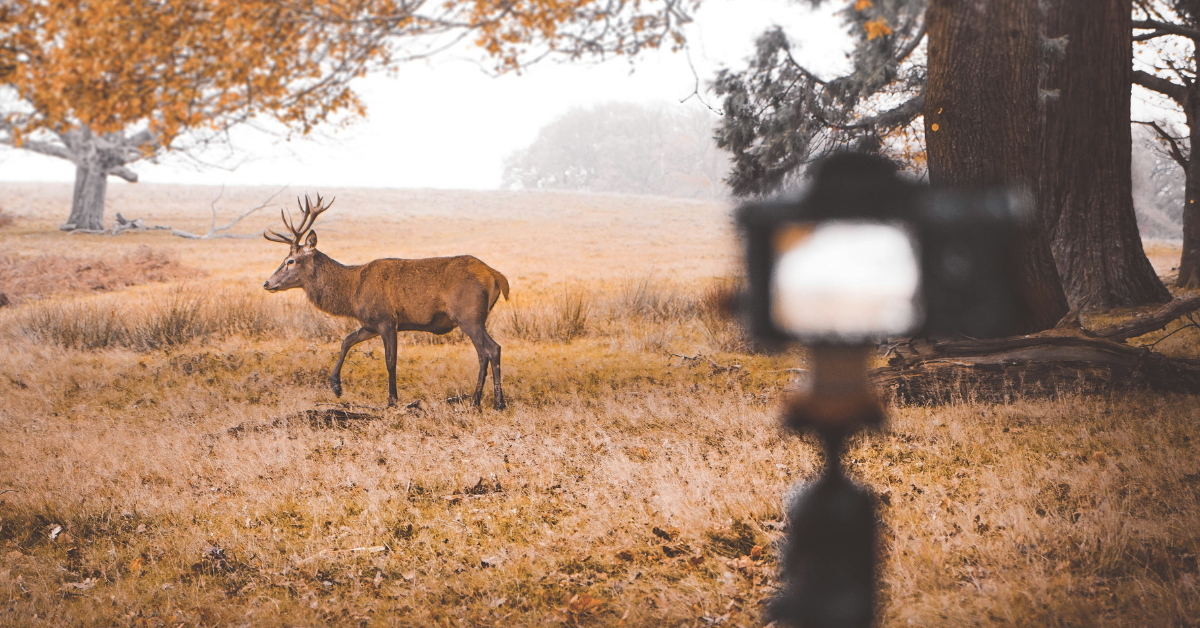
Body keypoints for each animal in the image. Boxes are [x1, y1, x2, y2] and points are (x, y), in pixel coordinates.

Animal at [262, 194, 509, 410]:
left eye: (290, 261)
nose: (267, 283)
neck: (352, 293)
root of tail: (496, 275)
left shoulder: (387, 319)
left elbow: (390, 360)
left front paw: (392, 399)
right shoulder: (370, 323)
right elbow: (346, 341)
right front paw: (336, 387)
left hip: (469, 315)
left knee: (490, 349)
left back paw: (491, 402)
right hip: (475, 317)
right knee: (487, 352)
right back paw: (484, 401)